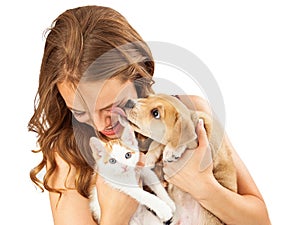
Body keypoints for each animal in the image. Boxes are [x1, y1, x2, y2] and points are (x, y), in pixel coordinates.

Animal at [123, 93, 237, 225]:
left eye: (155, 113)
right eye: (147, 97)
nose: (129, 102)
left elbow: (177, 139)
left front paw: (172, 150)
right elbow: (157, 143)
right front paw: (150, 157)